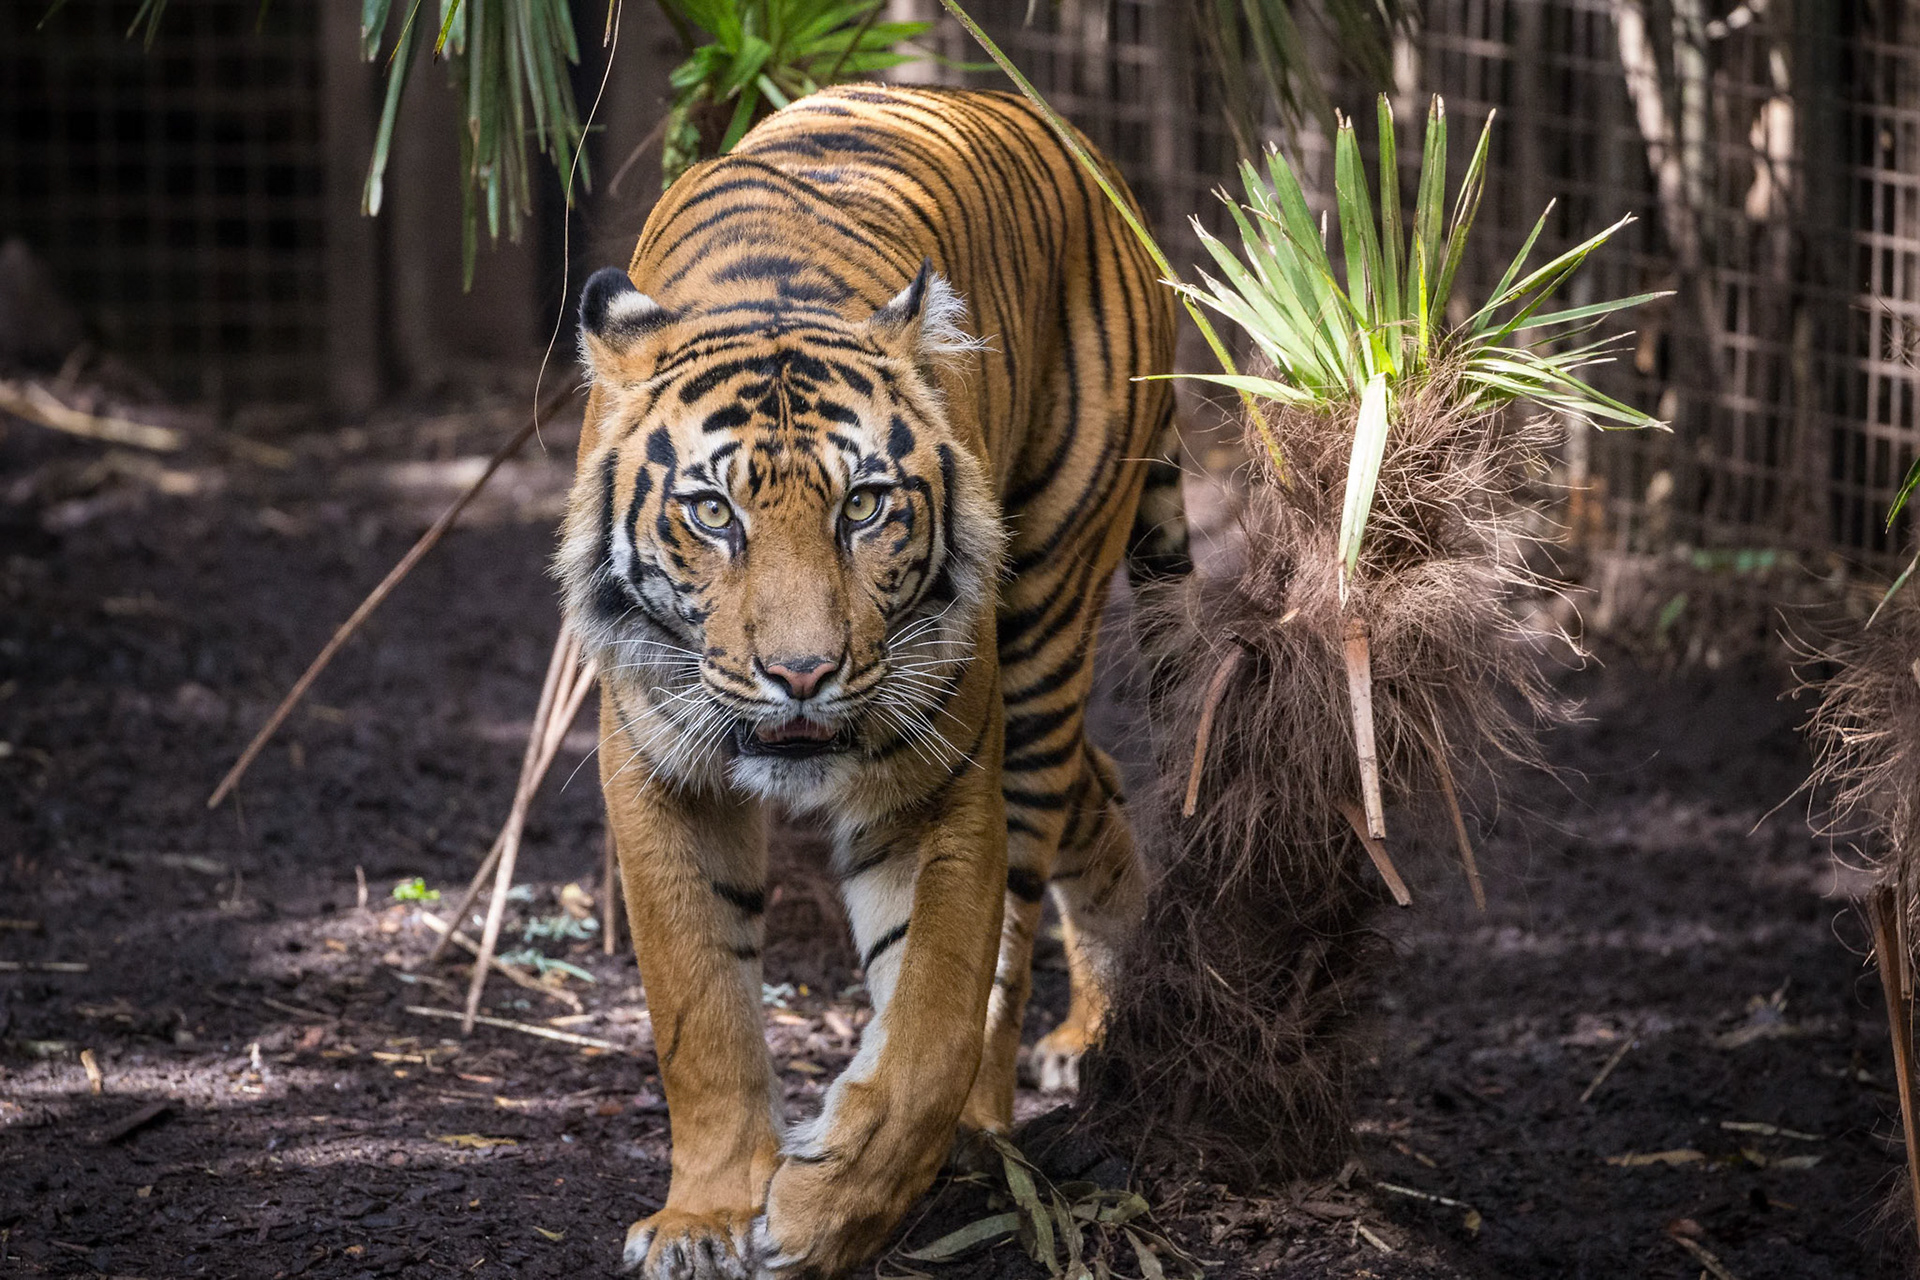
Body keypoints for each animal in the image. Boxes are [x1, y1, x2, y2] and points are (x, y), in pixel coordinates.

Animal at [557, 84, 1185, 1278]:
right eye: (714, 512)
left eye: (864, 506)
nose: (802, 672)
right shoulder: (656, 769)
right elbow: (699, 1006)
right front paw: (705, 1217)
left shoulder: (941, 779)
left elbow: (934, 1017)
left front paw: (828, 1211)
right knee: (1107, 784)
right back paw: (1107, 1010)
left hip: (1043, 634)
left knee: (1019, 915)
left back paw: (994, 1119)